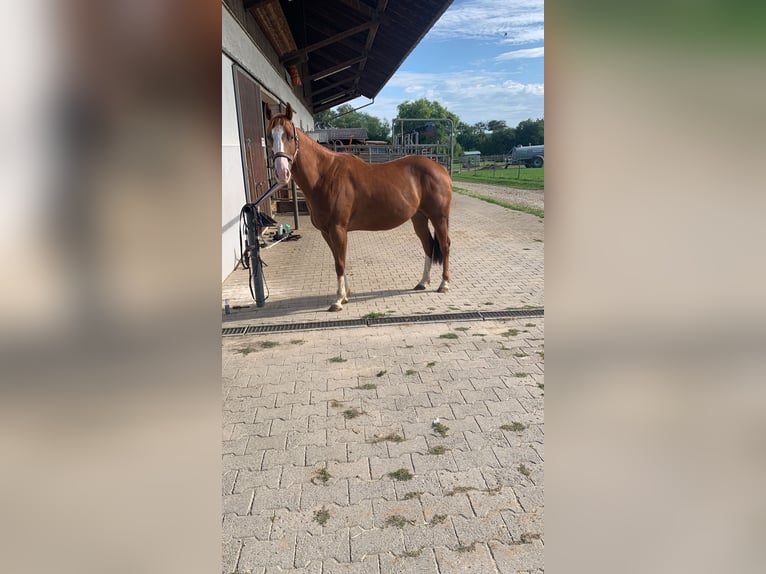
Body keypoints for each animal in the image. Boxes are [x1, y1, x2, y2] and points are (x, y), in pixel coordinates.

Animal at [268, 103, 452, 310]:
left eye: (290, 136)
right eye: (270, 136)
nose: (281, 172)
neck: (325, 175)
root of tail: (440, 168)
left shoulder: (338, 229)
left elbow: (340, 263)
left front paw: (338, 300)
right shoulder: (326, 232)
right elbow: (338, 260)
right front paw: (345, 294)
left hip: (439, 217)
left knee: (444, 245)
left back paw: (444, 284)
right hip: (419, 217)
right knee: (428, 245)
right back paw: (422, 282)